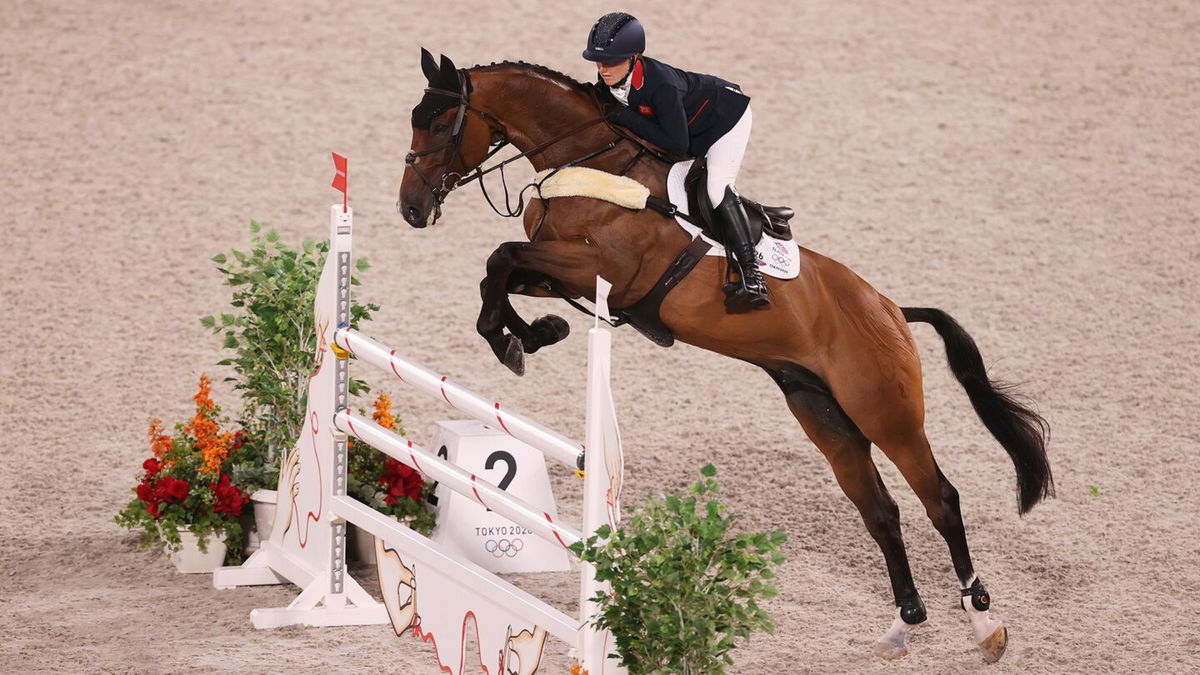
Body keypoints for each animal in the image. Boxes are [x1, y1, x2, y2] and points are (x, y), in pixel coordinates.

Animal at [396, 49, 1051, 658]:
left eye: (440, 124)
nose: (411, 210)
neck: (588, 159)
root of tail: (892, 310)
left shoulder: (600, 268)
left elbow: (502, 257)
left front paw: (519, 339)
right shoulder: (562, 271)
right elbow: (500, 271)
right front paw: (529, 335)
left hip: (886, 413)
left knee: (940, 500)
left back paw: (984, 622)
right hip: (823, 414)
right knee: (881, 511)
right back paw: (903, 624)